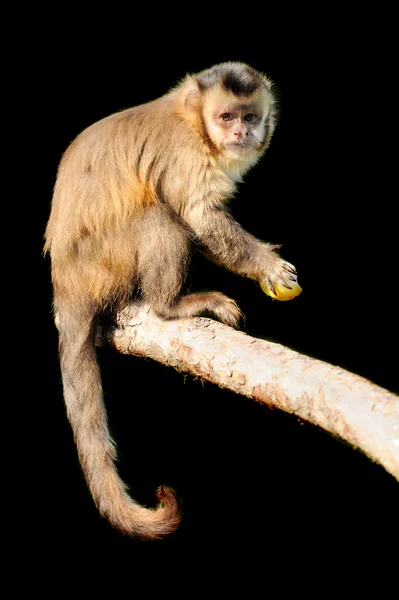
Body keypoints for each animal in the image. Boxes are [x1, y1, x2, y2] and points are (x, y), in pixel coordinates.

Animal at [43, 61, 300, 540]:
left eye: (250, 117)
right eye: (226, 118)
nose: (241, 133)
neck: (193, 122)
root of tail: (64, 280)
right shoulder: (188, 154)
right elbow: (197, 215)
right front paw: (265, 266)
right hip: (102, 262)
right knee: (158, 217)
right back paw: (171, 305)